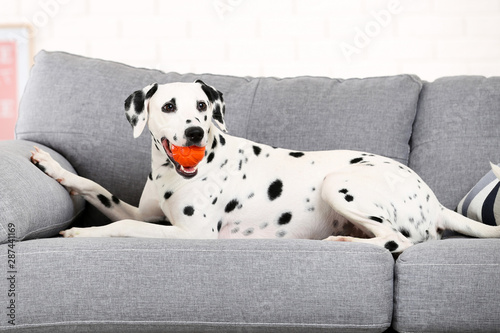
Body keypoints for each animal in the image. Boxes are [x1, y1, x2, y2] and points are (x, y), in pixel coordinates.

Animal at [29, 80, 500, 252]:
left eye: (202, 107)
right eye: (168, 106)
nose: (195, 133)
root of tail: (434, 200)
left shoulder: (193, 233)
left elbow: (123, 226)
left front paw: (80, 233)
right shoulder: (140, 210)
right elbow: (94, 186)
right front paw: (49, 164)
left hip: (338, 182)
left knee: (397, 241)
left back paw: (346, 243)